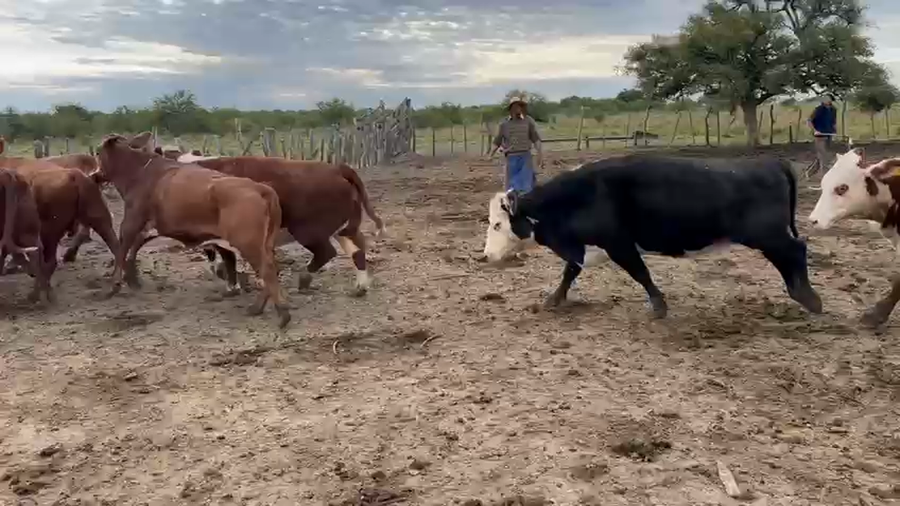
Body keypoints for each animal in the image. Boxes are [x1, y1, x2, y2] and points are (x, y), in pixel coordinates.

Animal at [96, 134, 292, 328]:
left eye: (98, 152)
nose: (95, 175)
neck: (139, 171)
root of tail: (261, 189)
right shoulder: (152, 226)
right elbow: (133, 249)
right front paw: (132, 280)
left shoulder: (131, 223)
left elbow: (121, 251)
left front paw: (114, 286)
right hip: (264, 244)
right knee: (271, 268)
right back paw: (260, 308)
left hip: (247, 243)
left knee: (267, 270)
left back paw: (281, 313)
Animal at [138, 139, 386, 296]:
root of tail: (337, 168)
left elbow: (227, 259)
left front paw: (234, 285)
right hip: (343, 227)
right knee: (357, 249)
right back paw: (360, 286)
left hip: (309, 231)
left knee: (327, 252)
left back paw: (304, 280)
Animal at [483, 153, 823, 317]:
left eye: (497, 225)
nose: (486, 255)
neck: (581, 195)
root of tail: (771, 162)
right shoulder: (586, 247)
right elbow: (569, 273)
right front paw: (553, 300)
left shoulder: (619, 244)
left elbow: (640, 273)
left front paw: (659, 307)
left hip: (768, 235)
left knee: (796, 250)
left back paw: (808, 298)